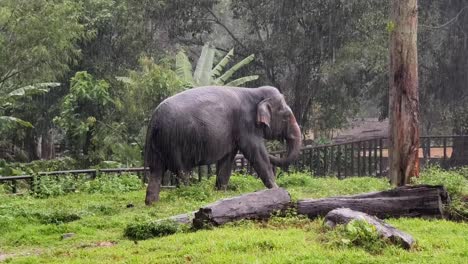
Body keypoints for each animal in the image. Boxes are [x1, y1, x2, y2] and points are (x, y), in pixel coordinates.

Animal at [144, 85, 302, 205]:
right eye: (286, 116)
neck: (254, 91)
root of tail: (154, 119)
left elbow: (227, 159)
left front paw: (220, 193)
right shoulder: (245, 124)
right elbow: (257, 153)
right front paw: (278, 189)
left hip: (157, 144)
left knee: (156, 171)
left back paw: (152, 203)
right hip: (175, 141)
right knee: (181, 171)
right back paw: (185, 196)